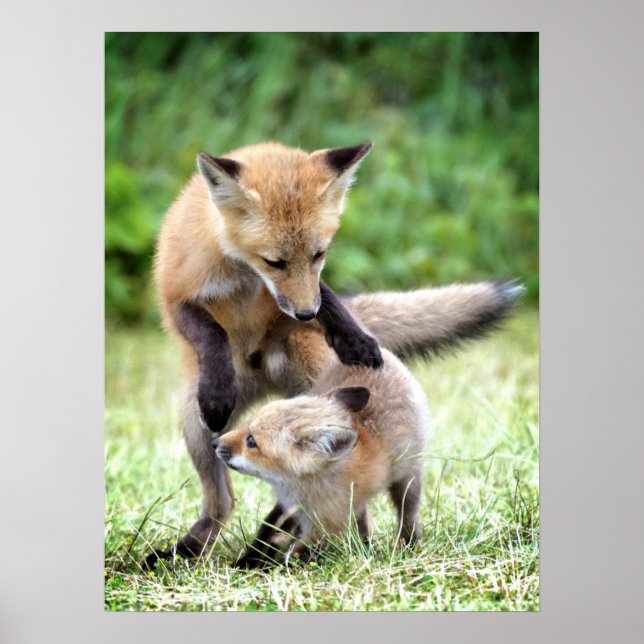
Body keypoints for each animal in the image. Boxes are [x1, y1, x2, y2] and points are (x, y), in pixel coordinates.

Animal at [213, 347, 430, 568]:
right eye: (245, 425)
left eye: (251, 441)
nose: (215, 442)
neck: (300, 488)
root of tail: (385, 353)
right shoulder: (289, 508)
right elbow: (266, 531)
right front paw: (246, 562)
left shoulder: (325, 527)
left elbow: (293, 556)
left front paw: (267, 568)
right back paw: (367, 545)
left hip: (408, 479)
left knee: (407, 512)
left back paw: (407, 542)